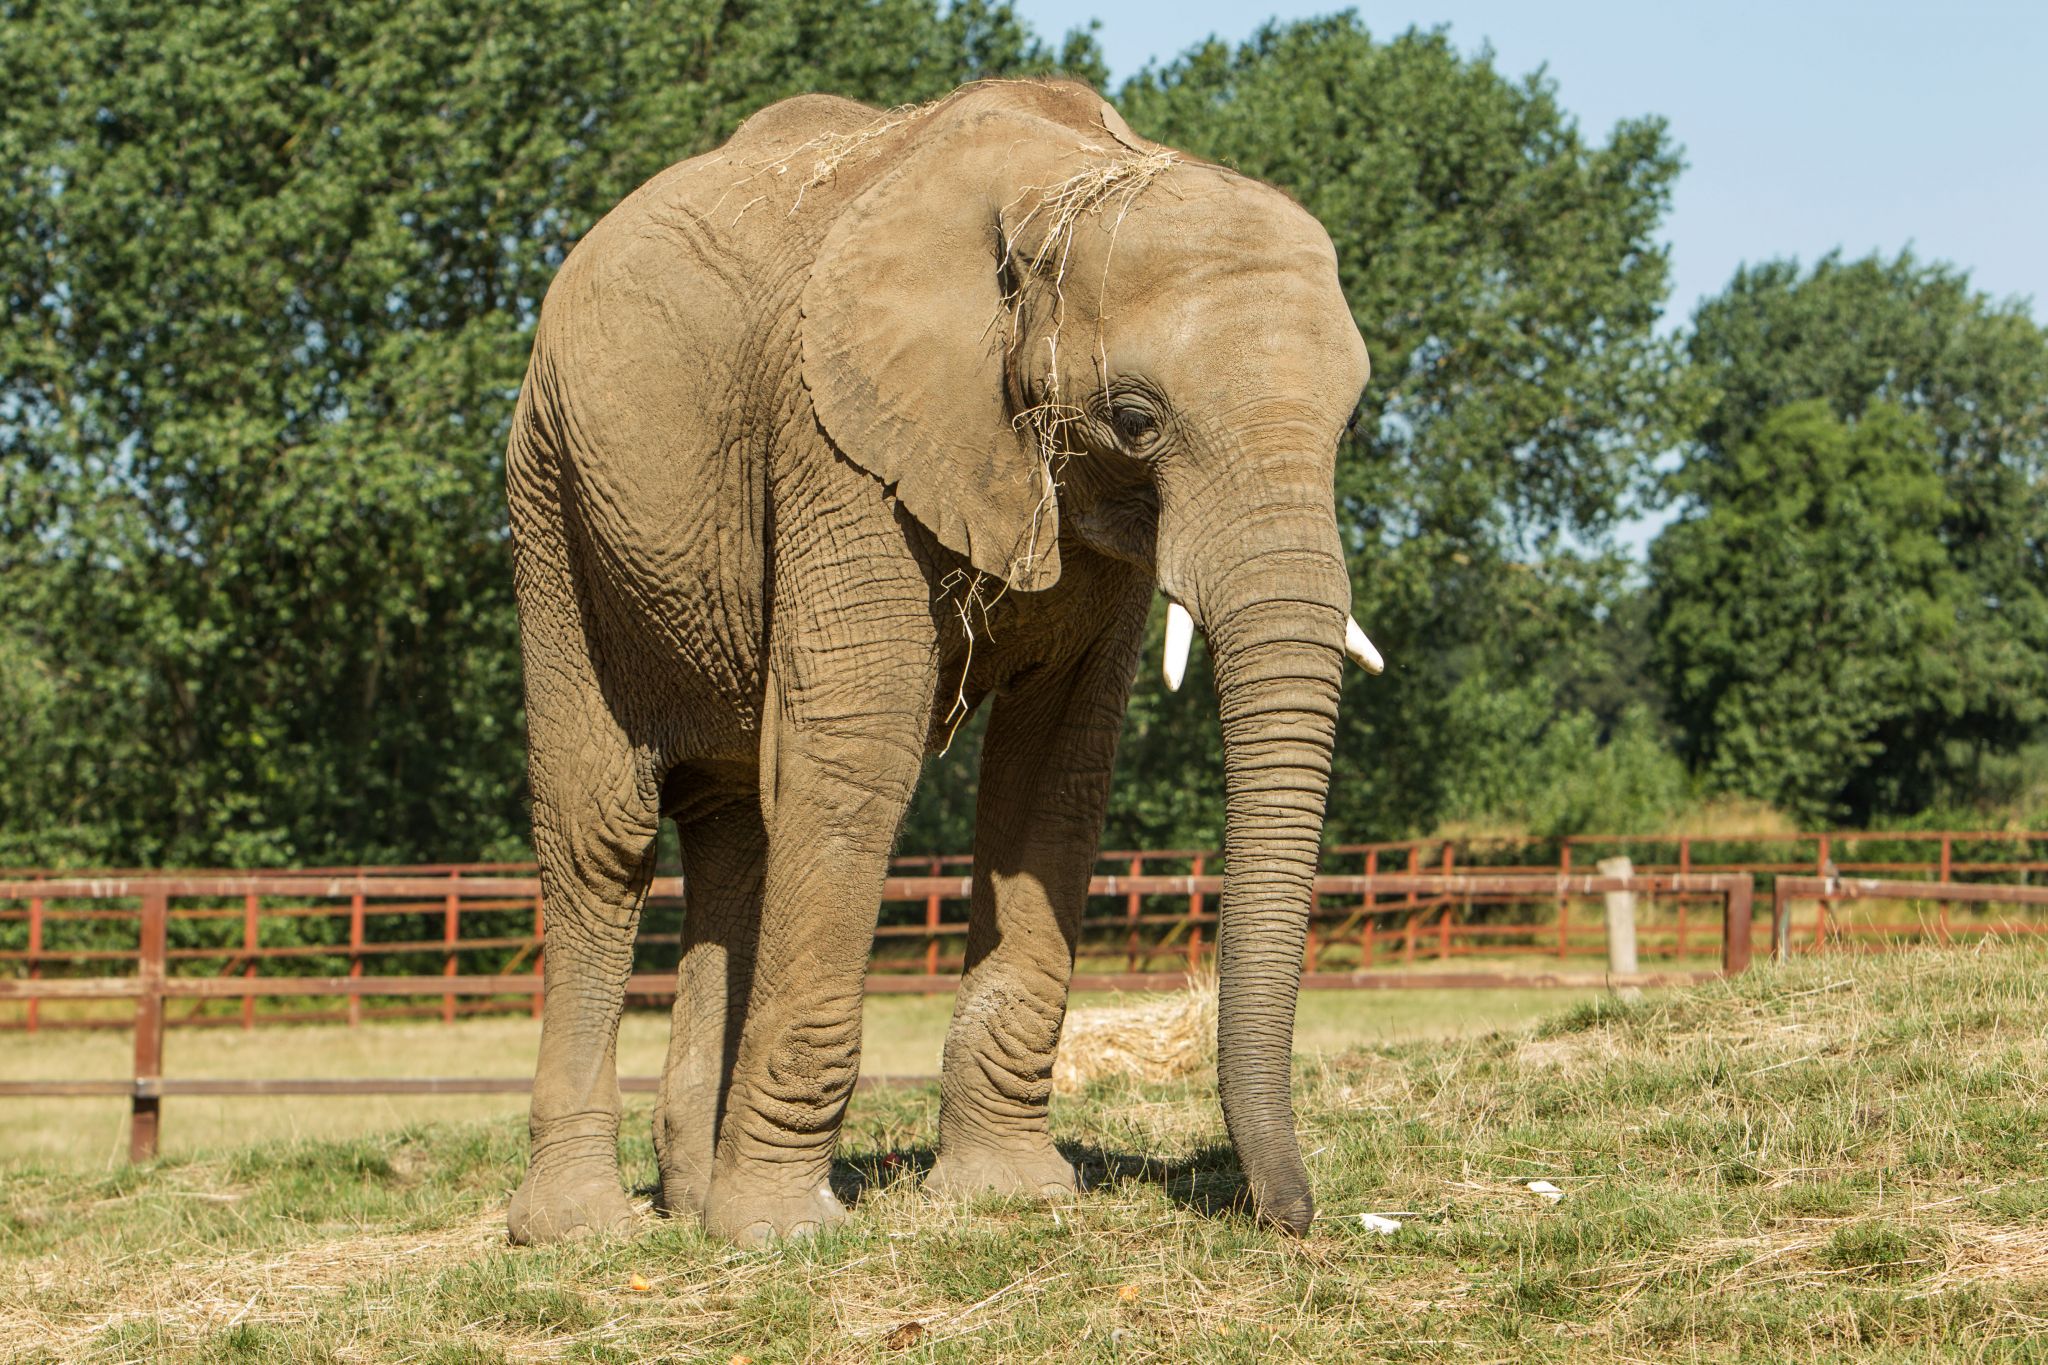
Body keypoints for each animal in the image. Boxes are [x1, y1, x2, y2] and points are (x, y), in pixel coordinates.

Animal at [503, 77, 1384, 1252]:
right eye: (1136, 419)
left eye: (1349, 419)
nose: (1291, 1215)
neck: (1065, 180)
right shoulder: (835, 438)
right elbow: (856, 750)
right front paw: (781, 1234)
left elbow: (1053, 775)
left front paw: (1008, 1196)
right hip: (549, 490)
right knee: (603, 837)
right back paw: (581, 1228)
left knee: (736, 831)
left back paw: (690, 1202)